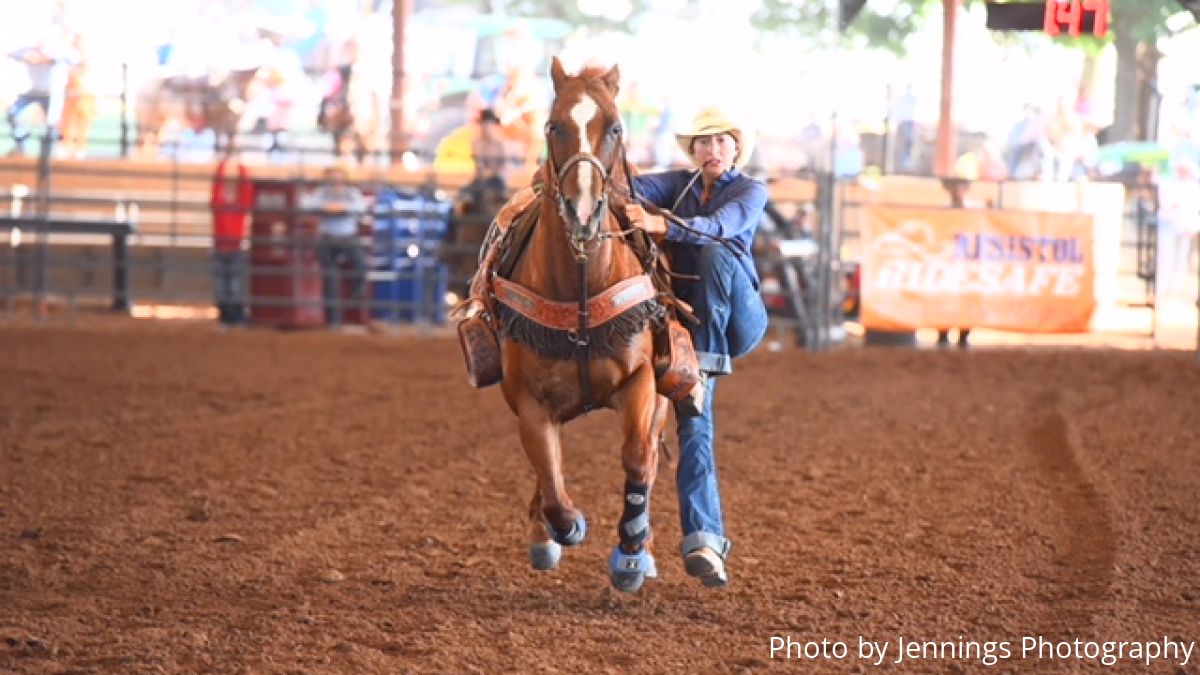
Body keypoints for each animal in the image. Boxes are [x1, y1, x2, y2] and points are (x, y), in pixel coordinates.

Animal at [494, 57, 672, 590]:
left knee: (649, 456)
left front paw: (631, 553)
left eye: (615, 127)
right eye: (553, 126)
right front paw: (560, 527)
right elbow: (550, 479)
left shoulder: (640, 381)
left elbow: (637, 457)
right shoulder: (528, 399)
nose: (583, 210)